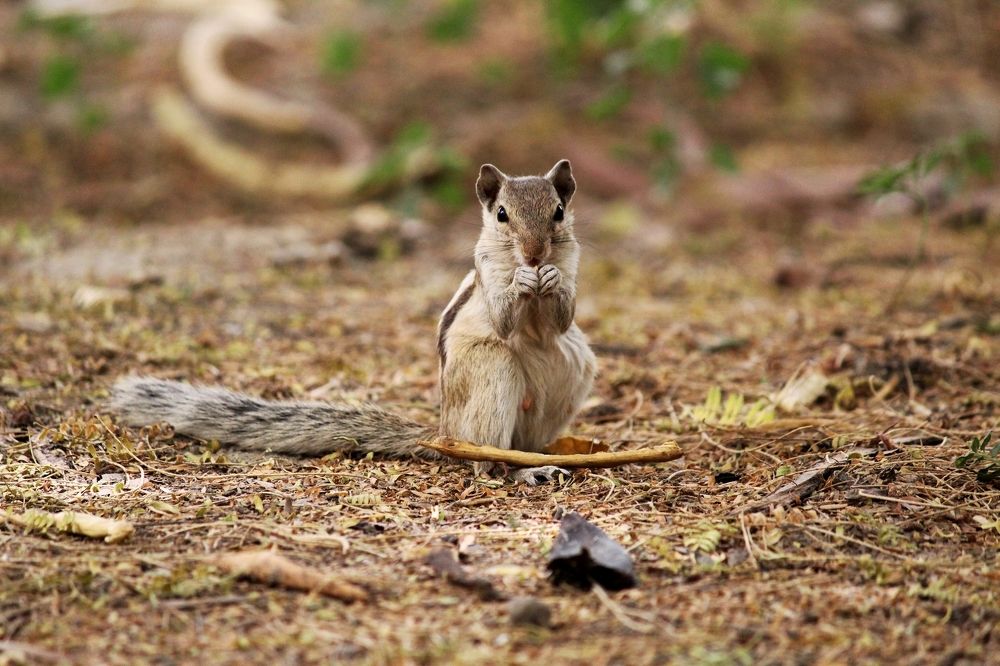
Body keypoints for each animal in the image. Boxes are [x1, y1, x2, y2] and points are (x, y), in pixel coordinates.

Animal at [111, 159, 597, 485]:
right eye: (501, 215)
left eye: (558, 211)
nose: (534, 254)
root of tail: (444, 432)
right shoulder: (488, 273)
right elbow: (502, 317)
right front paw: (522, 282)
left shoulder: (572, 270)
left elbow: (561, 318)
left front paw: (550, 281)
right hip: (490, 371)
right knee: (485, 461)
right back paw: (516, 471)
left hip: (575, 367)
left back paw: (543, 459)